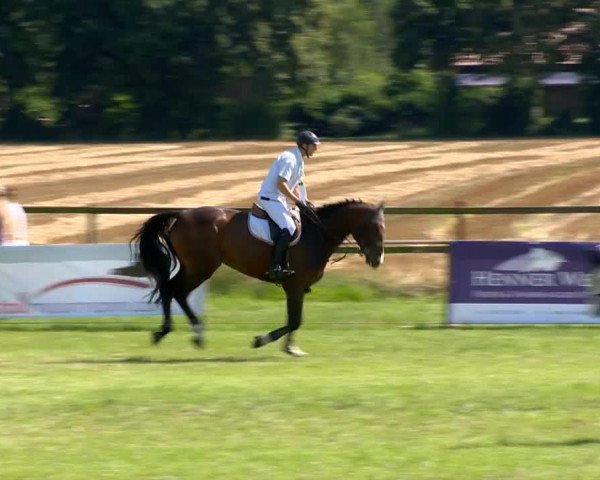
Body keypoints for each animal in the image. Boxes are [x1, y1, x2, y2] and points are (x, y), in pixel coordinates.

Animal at [131, 199, 384, 356]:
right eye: (374, 227)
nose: (377, 260)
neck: (317, 234)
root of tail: (182, 214)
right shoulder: (294, 286)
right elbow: (295, 320)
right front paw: (262, 340)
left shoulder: (297, 288)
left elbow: (294, 319)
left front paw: (291, 348)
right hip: (200, 267)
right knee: (173, 290)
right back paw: (167, 332)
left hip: (195, 267)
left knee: (176, 292)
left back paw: (195, 334)